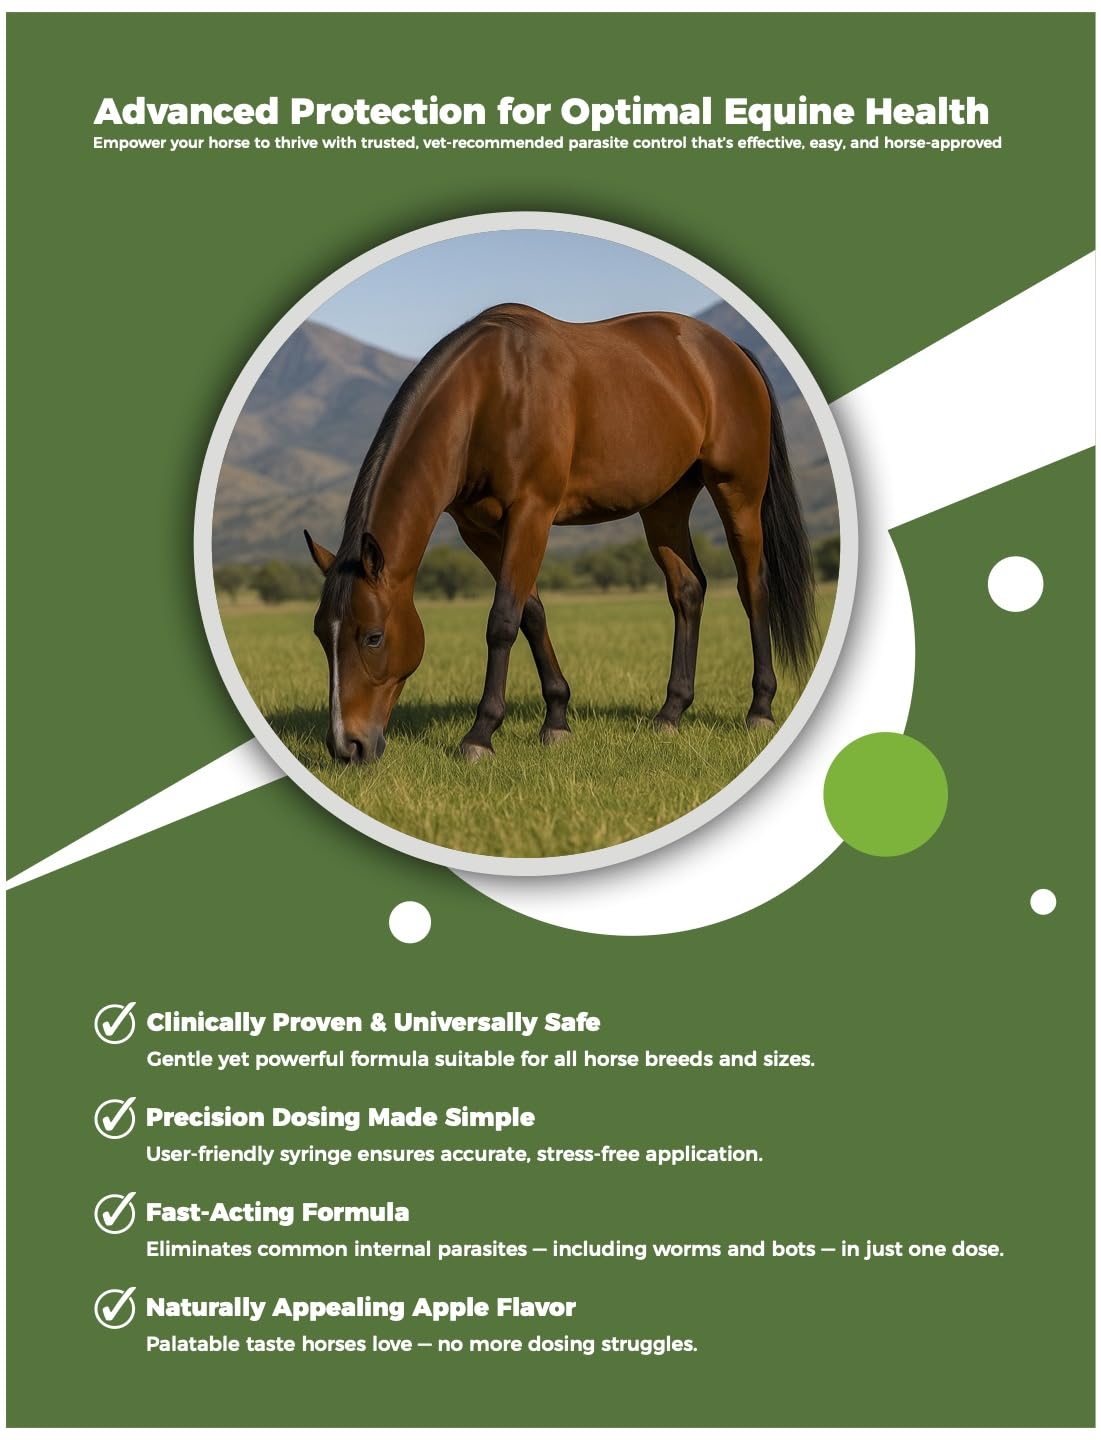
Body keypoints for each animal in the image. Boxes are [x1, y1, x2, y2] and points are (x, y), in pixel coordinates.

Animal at [304, 303, 816, 765]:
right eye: (321, 635)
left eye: (372, 637)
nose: (347, 747)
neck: (489, 394)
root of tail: (730, 351)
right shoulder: (479, 530)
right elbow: (531, 613)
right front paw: (556, 719)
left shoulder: (532, 513)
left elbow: (502, 621)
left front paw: (480, 734)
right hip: (665, 505)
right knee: (688, 590)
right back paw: (670, 713)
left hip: (738, 493)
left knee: (753, 588)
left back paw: (760, 709)